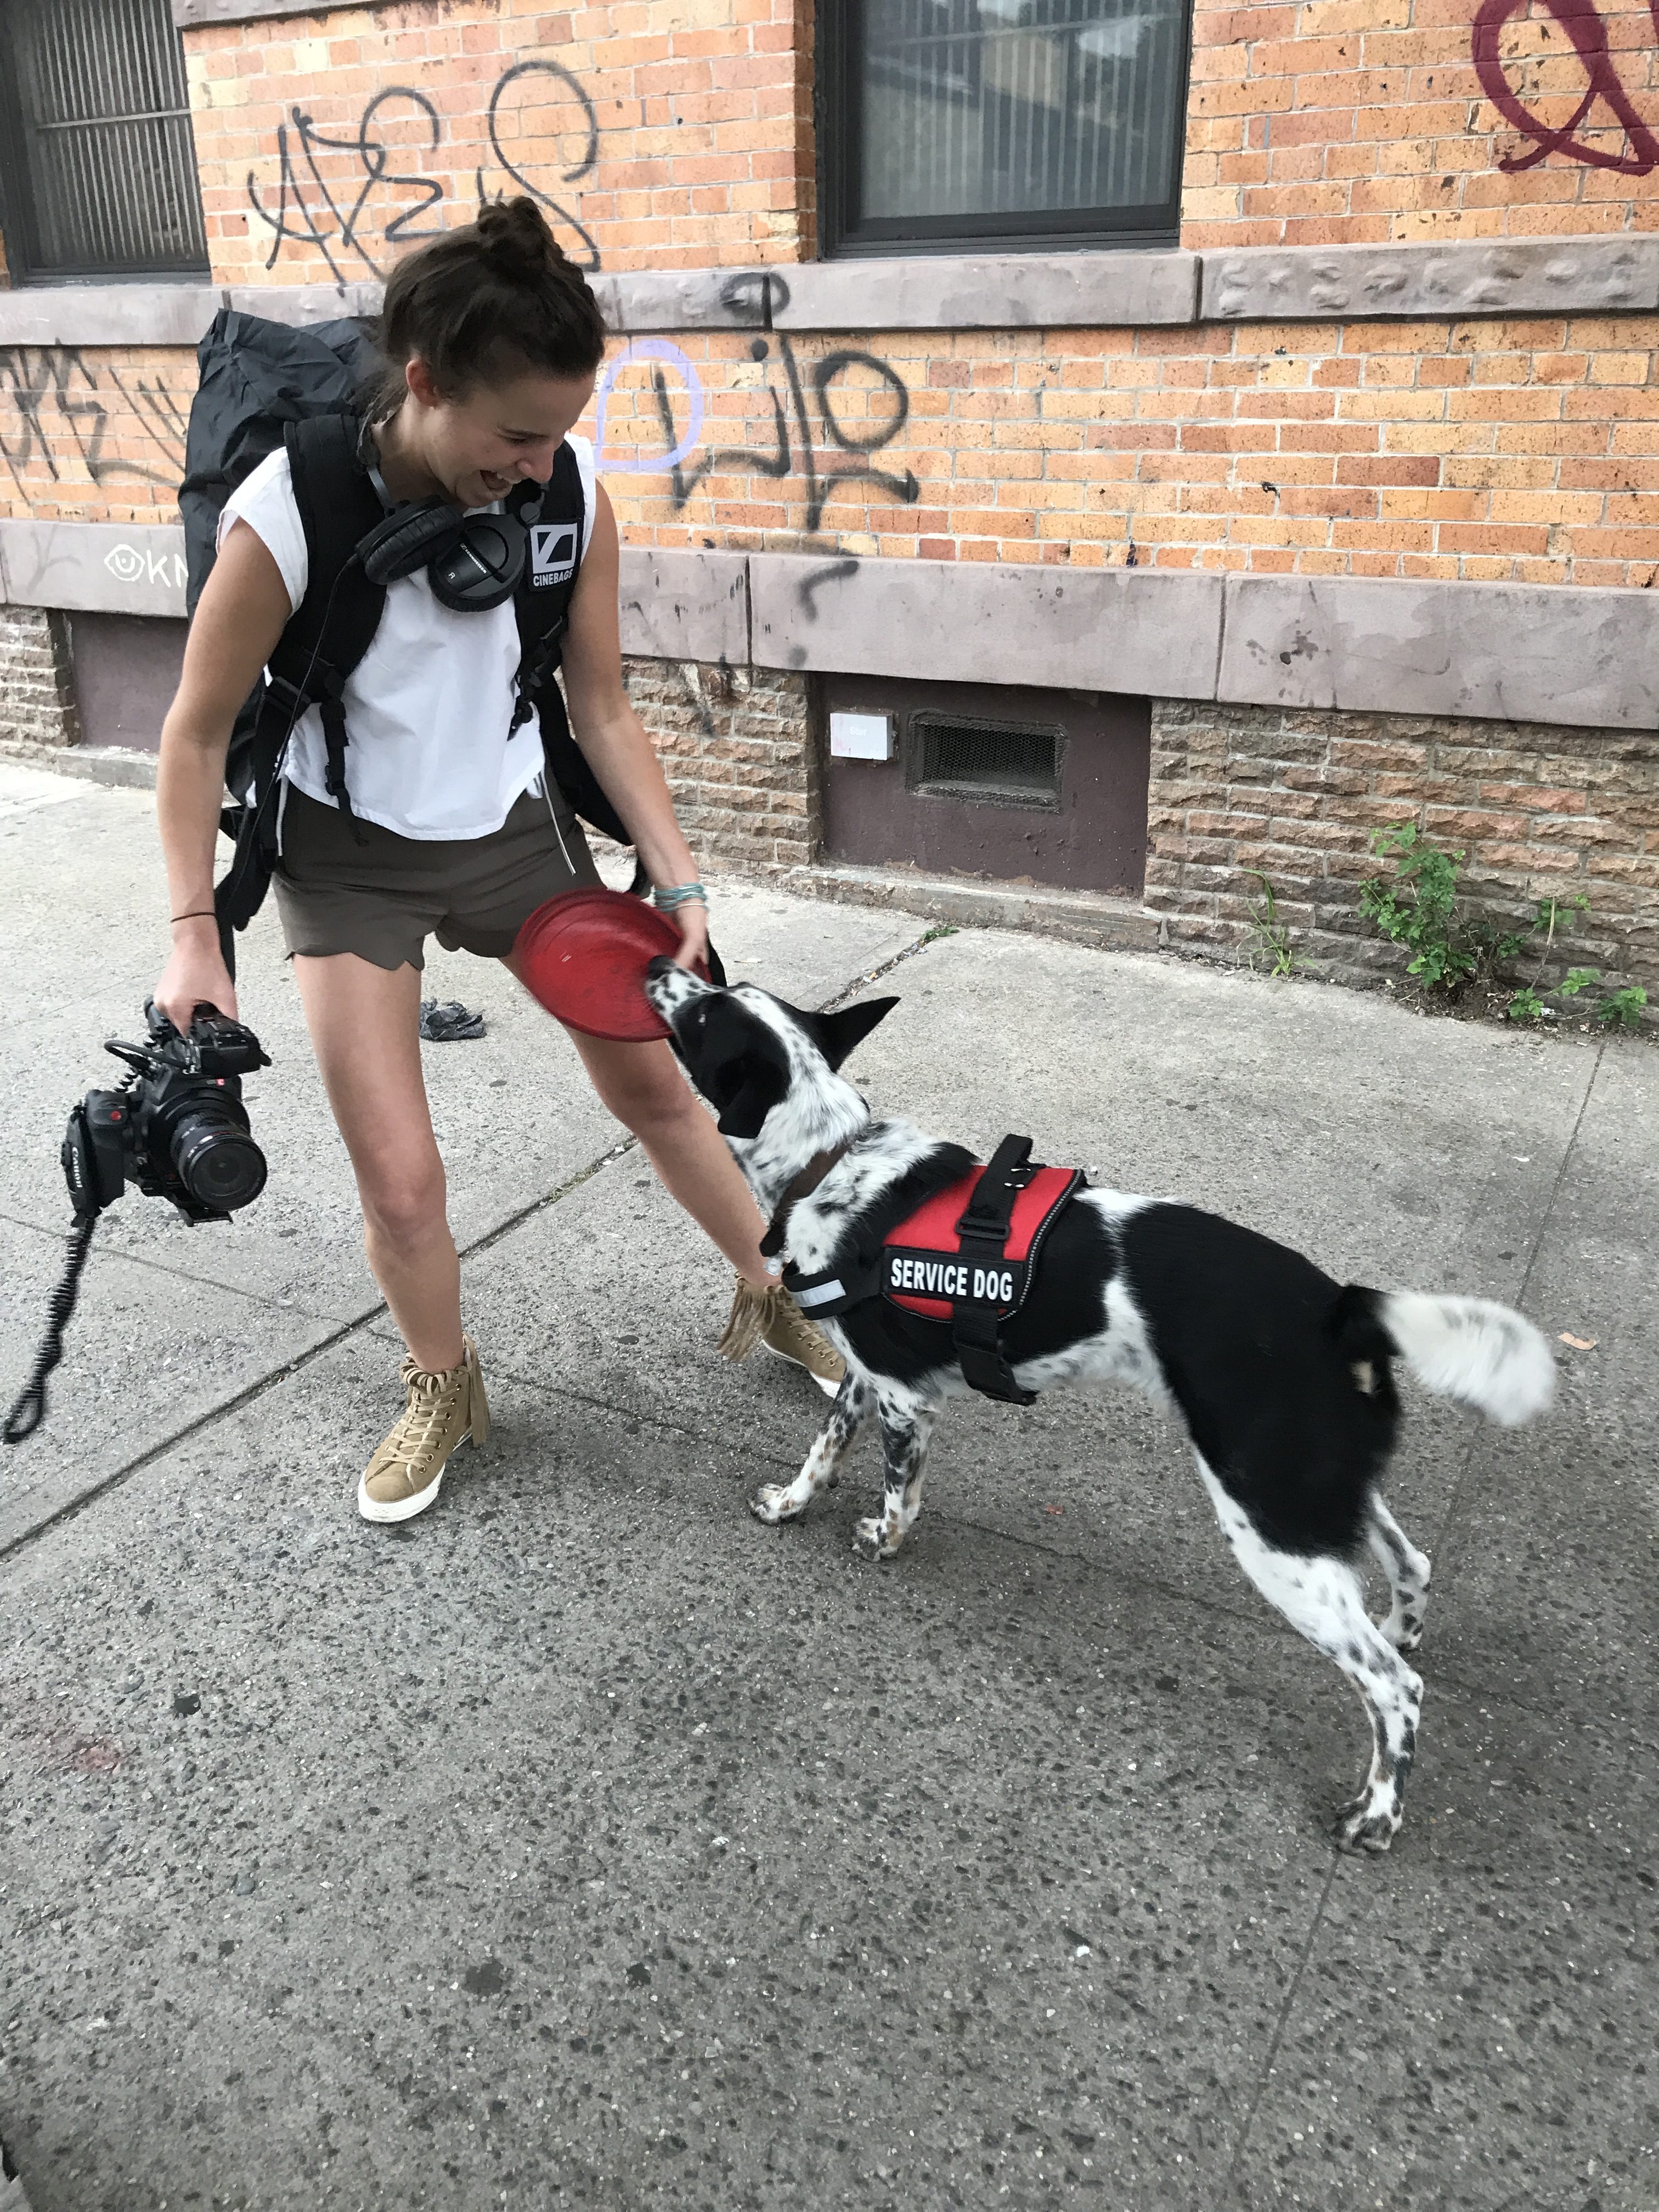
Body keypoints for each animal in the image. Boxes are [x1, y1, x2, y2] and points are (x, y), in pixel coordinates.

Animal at [650, 964, 1557, 1849]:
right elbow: (824, 1445)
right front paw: (794, 1503)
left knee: (1396, 1687)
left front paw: (884, 1541)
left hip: (1272, 1527)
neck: (832, 1164)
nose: (660, 963)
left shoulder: (905, 1401)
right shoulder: (867, 1378)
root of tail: (1342, 1309)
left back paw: (1378, 1812)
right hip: (1315, 1491)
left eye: (703, 1014)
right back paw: (1403, 1633)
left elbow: (899, 1494)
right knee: (1412, 1567)